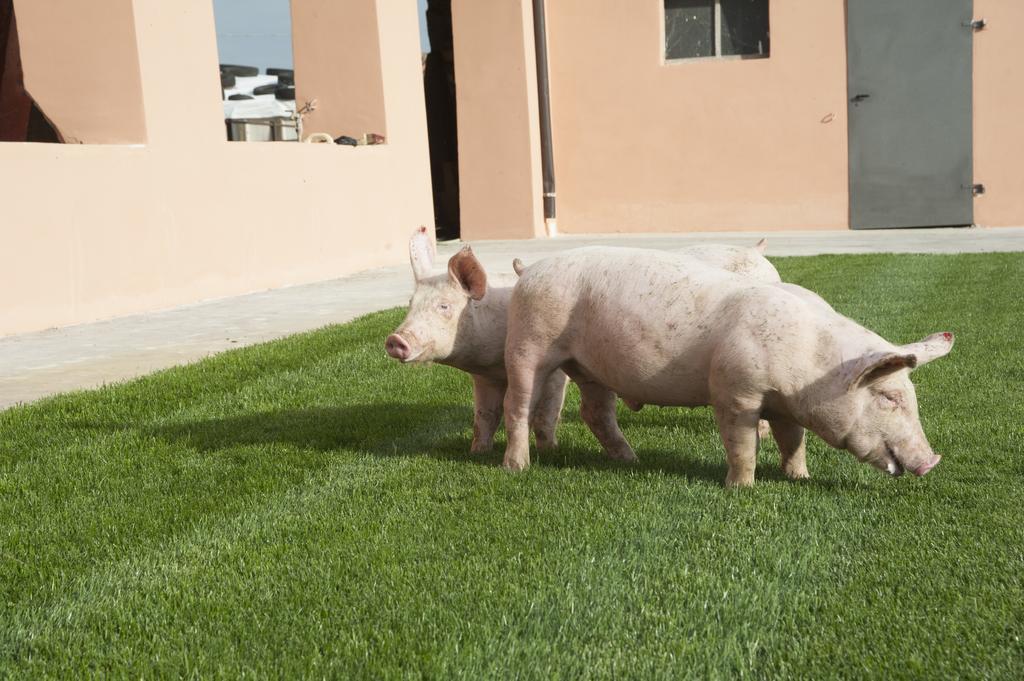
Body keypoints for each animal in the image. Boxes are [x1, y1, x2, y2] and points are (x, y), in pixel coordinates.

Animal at [501, 246, 950, 485]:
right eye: (889, 397)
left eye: (910, 396)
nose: (933, 461)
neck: (808, 360)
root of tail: (531, 269)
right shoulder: (735, 390)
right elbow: (741, 442)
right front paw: (742, 488)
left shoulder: (785, 406)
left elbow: (793, 441)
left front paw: (799, 478)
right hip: (528, 342)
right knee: (518, 405)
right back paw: (517, 467)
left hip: (591, 368)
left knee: (595, 412)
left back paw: (631, 461)